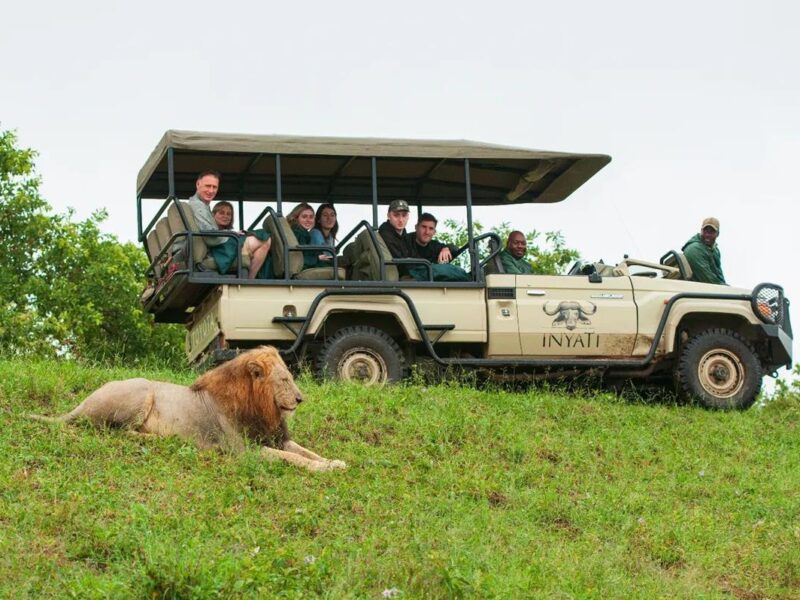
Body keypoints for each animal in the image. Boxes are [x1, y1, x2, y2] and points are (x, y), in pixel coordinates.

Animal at [27, 350, 346, 472]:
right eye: (284, 380)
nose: (301, 399)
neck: (263, 408)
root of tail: (84, 402)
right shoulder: (244, 451)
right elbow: (292, 459)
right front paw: (321, 469)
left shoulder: (274, 437)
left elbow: (305, 451)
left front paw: (335, 462)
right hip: (142, 390)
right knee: (118, 432)